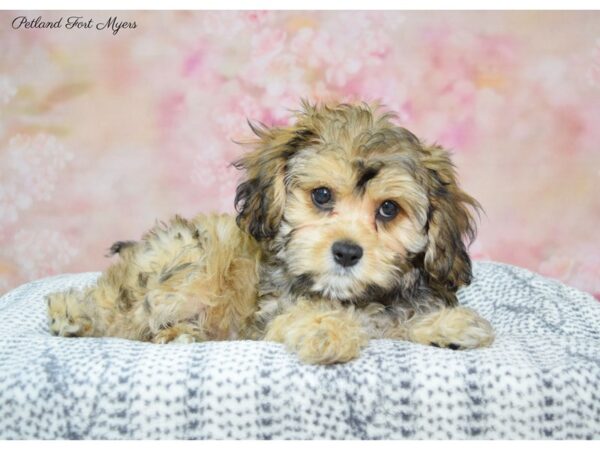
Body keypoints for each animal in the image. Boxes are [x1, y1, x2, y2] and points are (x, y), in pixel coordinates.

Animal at [49, 100, 494, 364]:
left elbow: (399, 319)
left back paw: (179, 334)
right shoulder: (271, 314)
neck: (350, 297)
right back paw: (75, 313)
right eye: (321, 195)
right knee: (124, 310)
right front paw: (327, 328)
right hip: (185, 266)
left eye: (388, 209)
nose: (347, 252)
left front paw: (449, 326)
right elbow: (305, 314)